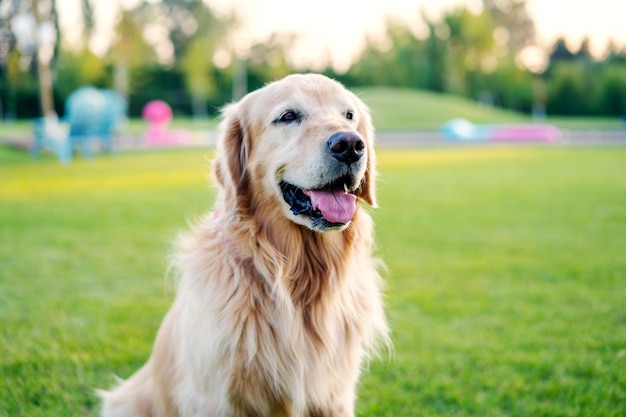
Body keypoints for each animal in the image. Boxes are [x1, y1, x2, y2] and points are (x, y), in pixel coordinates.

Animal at [98, 74, 386, 416]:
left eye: (349, 115)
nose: (350, 145)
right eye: (288, 116)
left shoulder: (333, 397)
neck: (295, 278)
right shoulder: (218, 399)